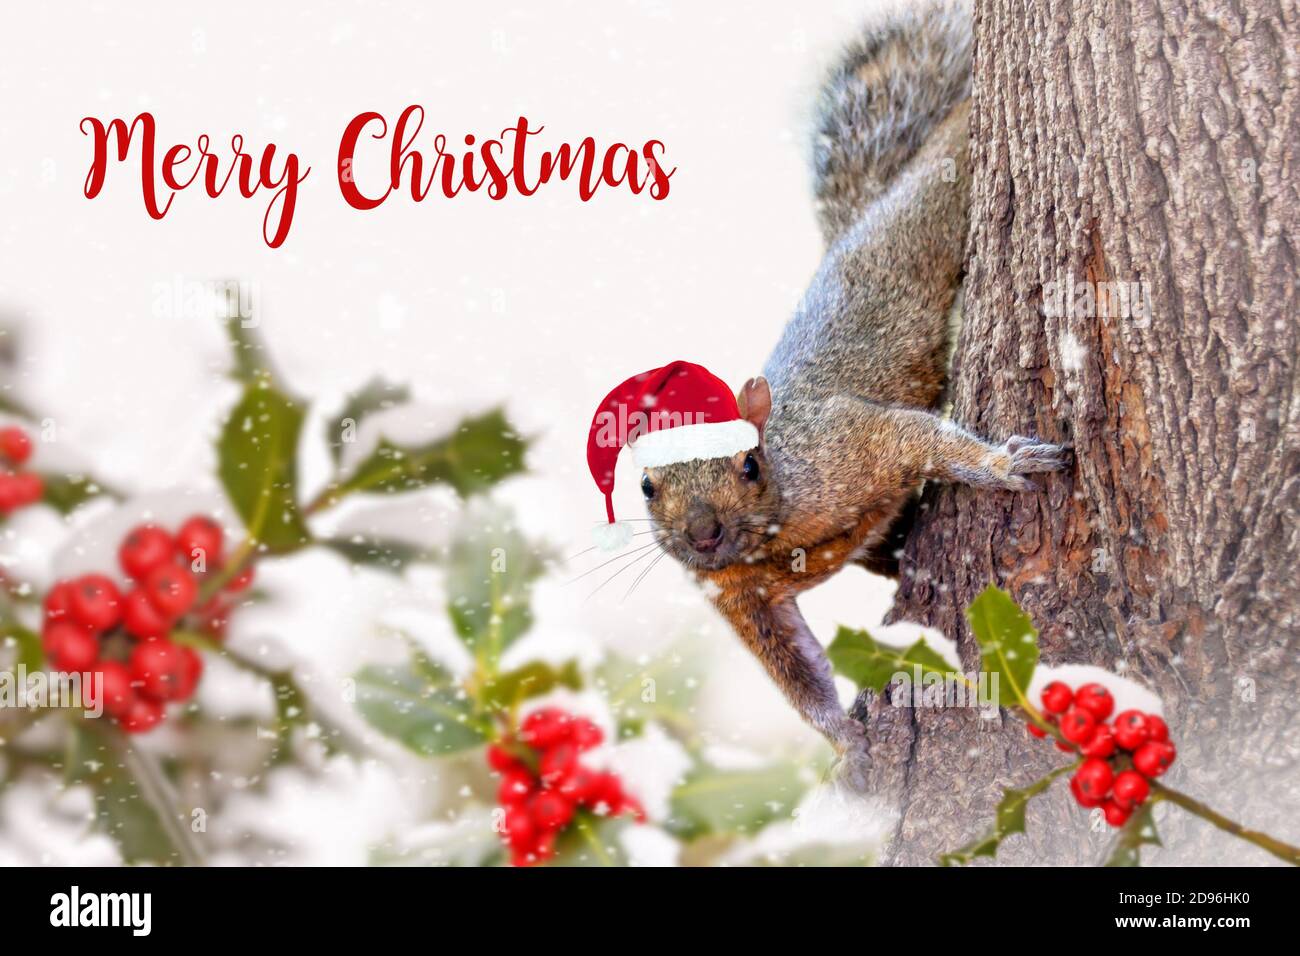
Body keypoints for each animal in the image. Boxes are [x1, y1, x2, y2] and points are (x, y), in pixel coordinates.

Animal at [634, 0, 1071, 775]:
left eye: (750, 463)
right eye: (647, 487)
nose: (704, 533)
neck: (773, 539)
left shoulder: (850, 443)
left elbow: (910, 436)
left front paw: (1002, 464)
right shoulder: (740, 601)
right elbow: (796, 669)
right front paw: (843, 741)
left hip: (925, 212)